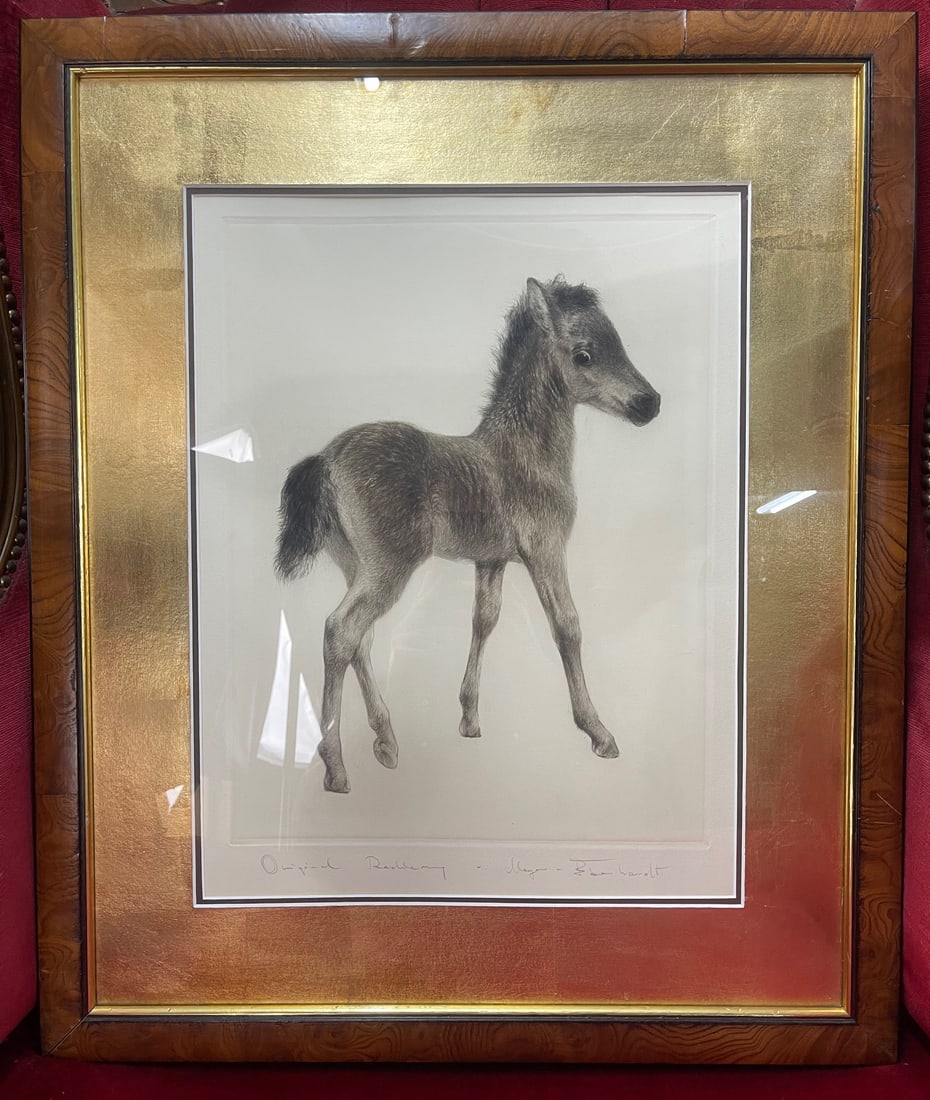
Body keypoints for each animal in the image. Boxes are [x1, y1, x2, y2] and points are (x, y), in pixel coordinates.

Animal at [275, 276, 660, 793]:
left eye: (620, 342)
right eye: (584, 354)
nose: (650, 403)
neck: (523, 453)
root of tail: (325, 460)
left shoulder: (490, 559)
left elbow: (484, 621)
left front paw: (469, 718)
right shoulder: (545, 550)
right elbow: (568, 627)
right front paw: (598, 732)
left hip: (355, 565)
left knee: (361, 640)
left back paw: (386, 742)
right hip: (388, 568)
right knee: (341, 630)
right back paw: (336, 766)